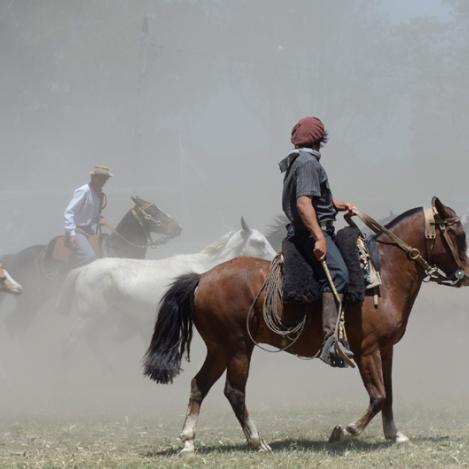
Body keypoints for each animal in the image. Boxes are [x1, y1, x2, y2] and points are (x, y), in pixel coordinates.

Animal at [0, 196, 181, 334]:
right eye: (153, 211)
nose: (178, 227)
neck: (117, 249)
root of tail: (13, 257)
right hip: (29, 300)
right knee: (14, 324)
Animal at [60, 217, 276, 362]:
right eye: (258, 242)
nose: (275, 259)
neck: (203, 270)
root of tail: (83, 270)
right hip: (89, 316)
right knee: (69, 343)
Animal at [143, 197, 468, 454]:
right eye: (458, 232)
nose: (465, 274)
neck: (382, 275)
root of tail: (202, 277)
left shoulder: (385, 349)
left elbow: (388, 392)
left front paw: (394, 434)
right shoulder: (367, 351)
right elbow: (378, 396)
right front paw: (344, 431)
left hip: (219, 348)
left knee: (200, 385)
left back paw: (188, 441)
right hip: (238, 348)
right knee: (234, 392)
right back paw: (257, 441)